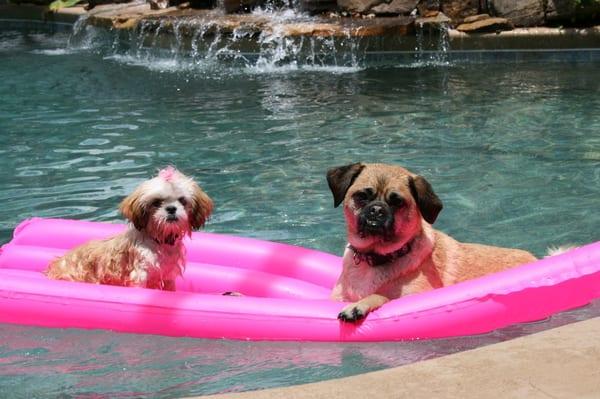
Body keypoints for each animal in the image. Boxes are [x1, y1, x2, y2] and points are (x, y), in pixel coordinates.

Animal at [45, 167, 213, 292]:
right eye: (156, 202)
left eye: (182, 200)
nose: (171, 208)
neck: (158, 240)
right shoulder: (140, 273)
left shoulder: (167, 276)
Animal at [328, 162, 540, 322]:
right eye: (362, 196)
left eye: (397, 202)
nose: (377, 209)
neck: (375, 257)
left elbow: (383, 296)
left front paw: (359, 306)